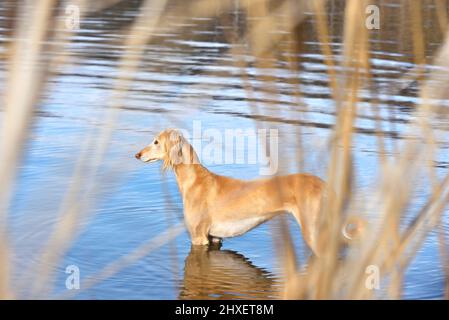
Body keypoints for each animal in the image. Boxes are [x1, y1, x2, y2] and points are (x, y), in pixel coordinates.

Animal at [134, 128, 360, 255]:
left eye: (156, 141)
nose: (137, 155)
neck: (195, 180)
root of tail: (324, 184)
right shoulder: (214, 238)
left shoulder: (198, 238)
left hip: (314, 233)